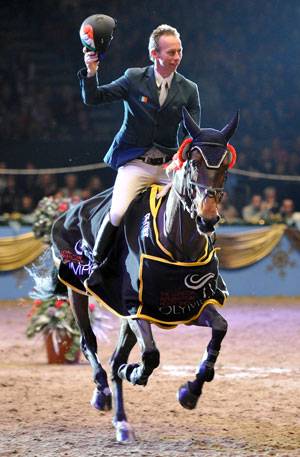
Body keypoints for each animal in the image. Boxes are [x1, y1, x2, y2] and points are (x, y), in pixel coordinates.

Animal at [51, 108, 239, 442]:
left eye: (225, 169)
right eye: (193, 163)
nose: (207, 219)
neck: (177, 243)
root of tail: (71, 211)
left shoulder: (190, 306)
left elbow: (220, 329)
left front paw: (190, 392)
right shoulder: (138, 310)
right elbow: (150, 356)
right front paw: (135, 372)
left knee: (114, 358)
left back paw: (122, 422)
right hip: (78, 292)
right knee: (90, 344)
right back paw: (102, 394)